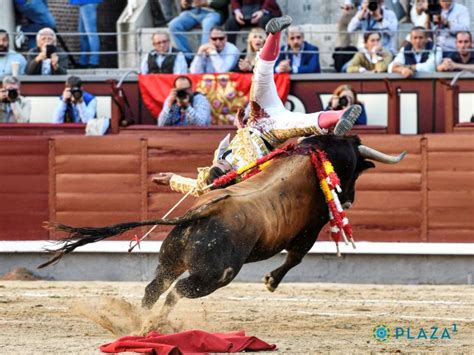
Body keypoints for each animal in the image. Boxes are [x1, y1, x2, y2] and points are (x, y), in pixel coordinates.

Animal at [39, 136, 406, 318]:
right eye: (355, 170)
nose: (349, 200)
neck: (309, 154)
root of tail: (199, 213)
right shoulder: (309, 231)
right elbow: (296, 257)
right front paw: (271, 281)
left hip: (170, 259)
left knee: (156, 288)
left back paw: (137, 322)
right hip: (216, 275)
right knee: (176, 292)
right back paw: (154, 326)